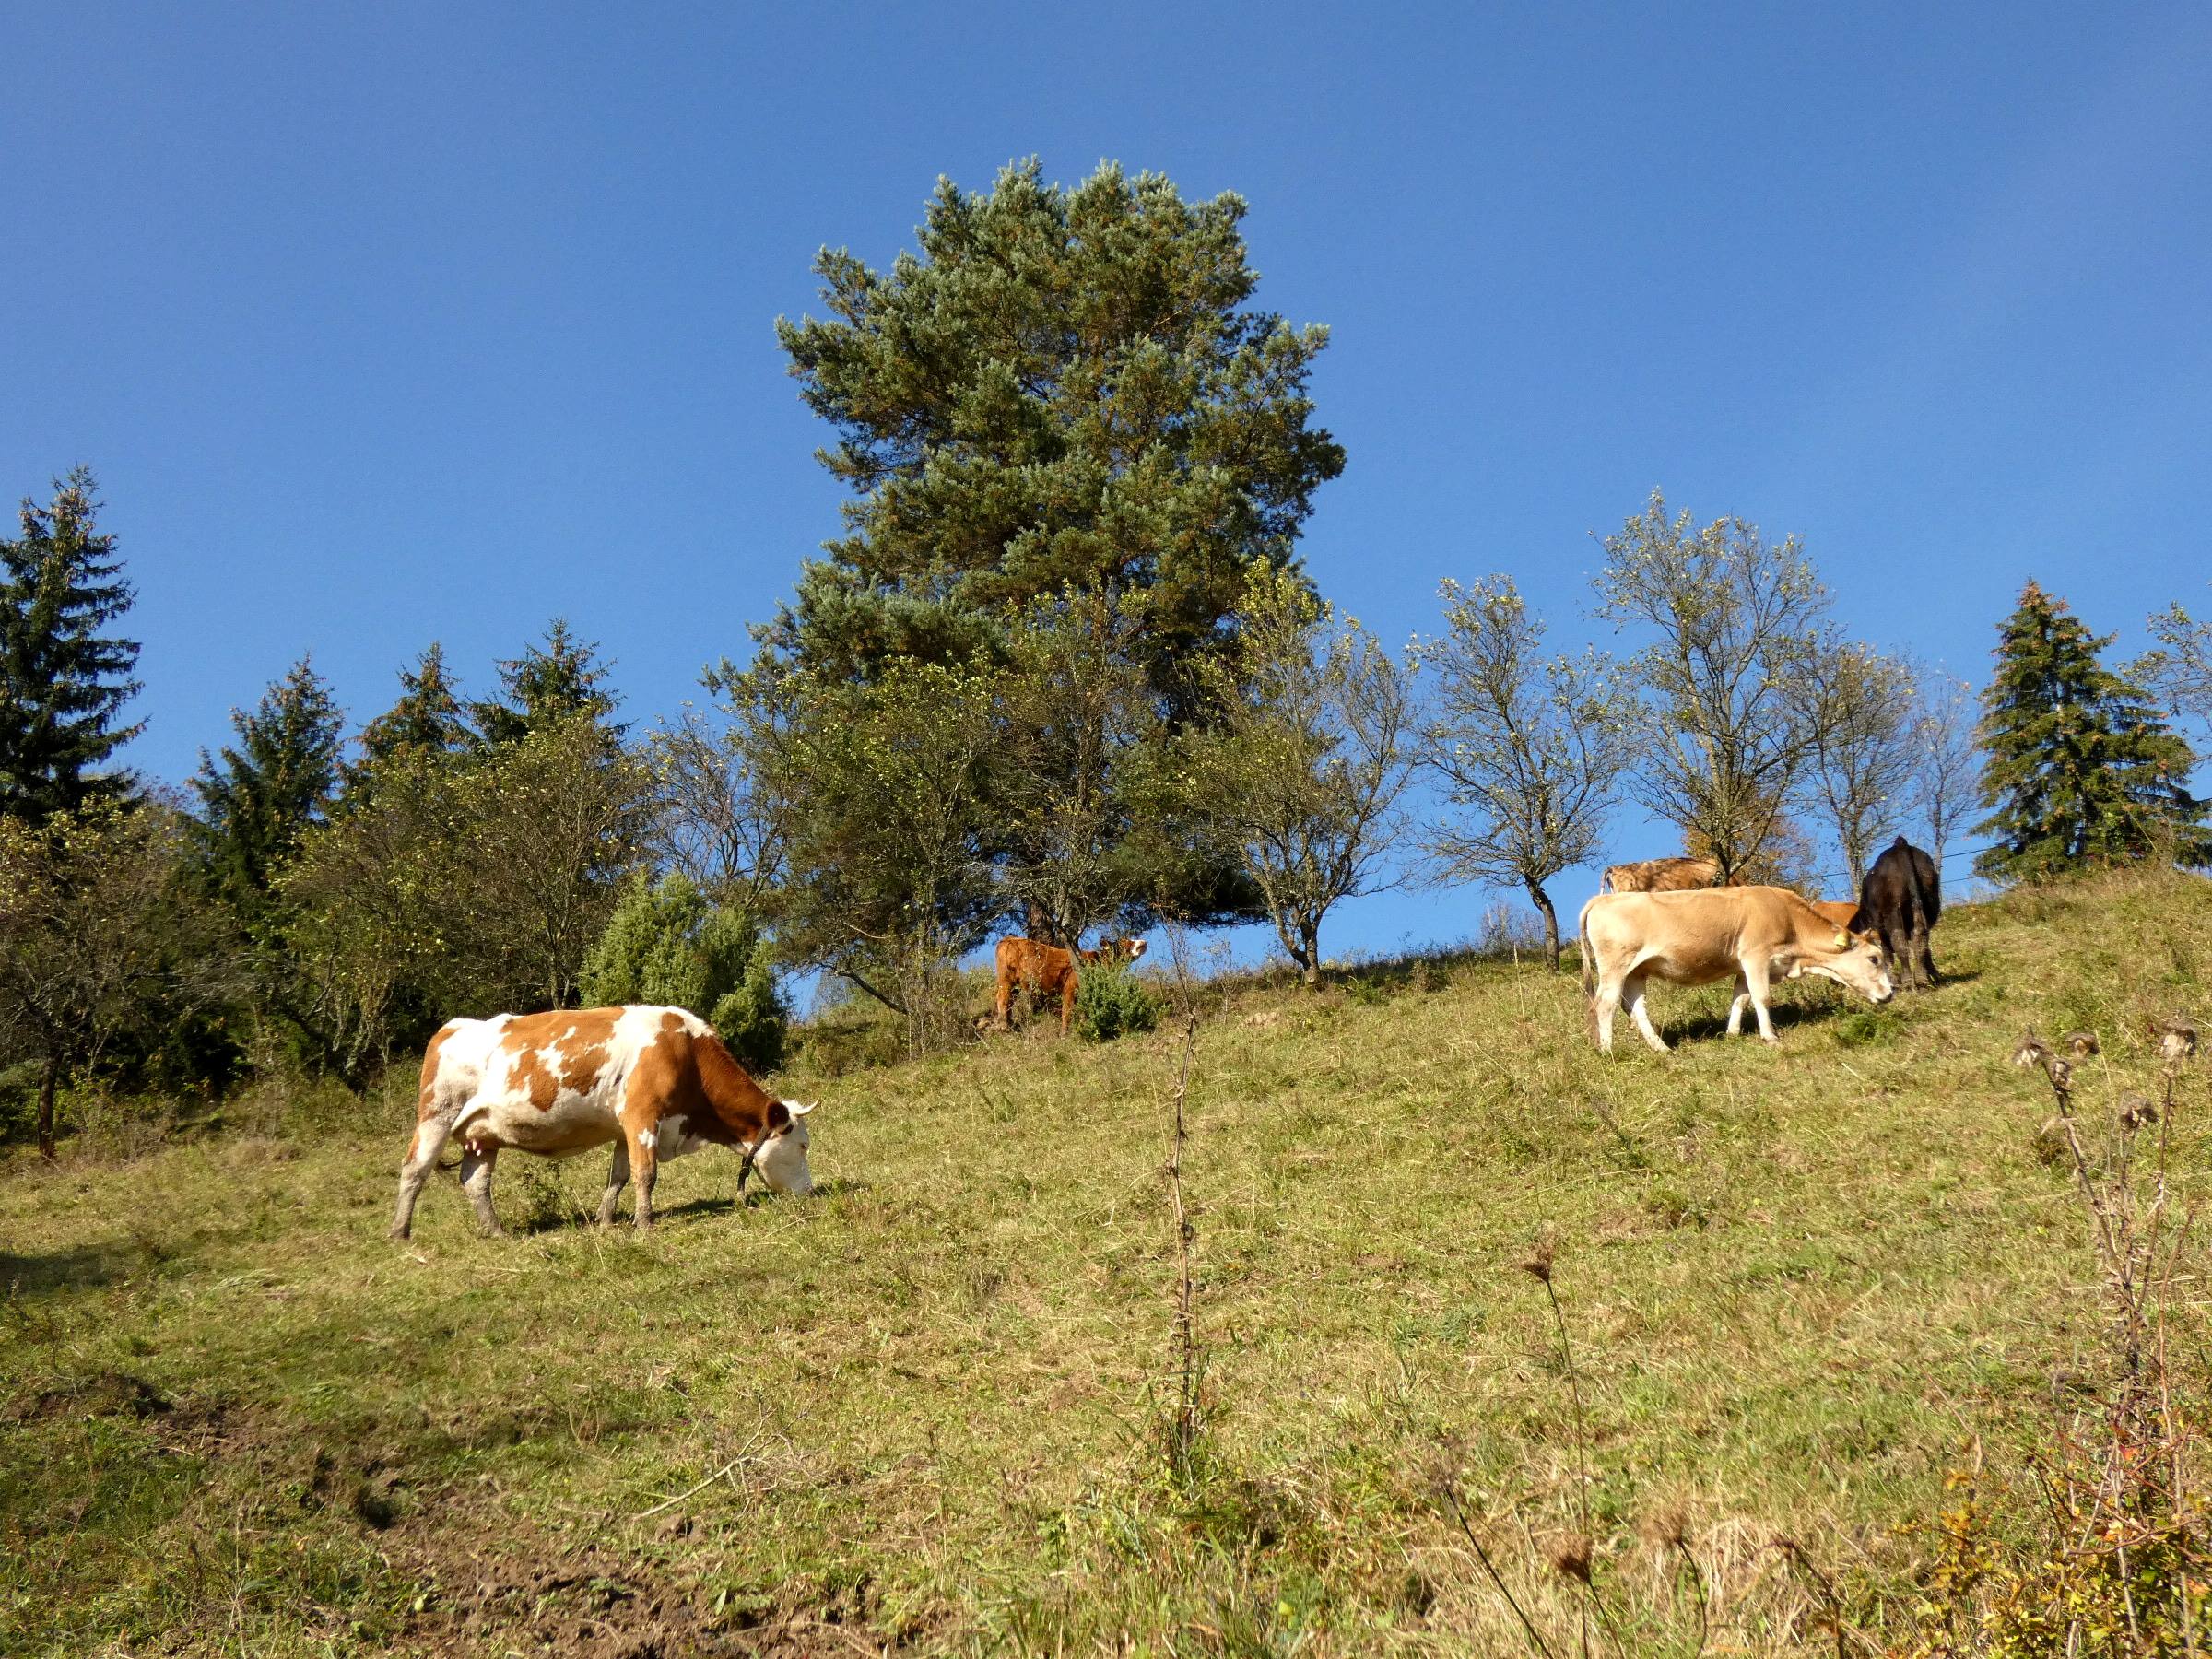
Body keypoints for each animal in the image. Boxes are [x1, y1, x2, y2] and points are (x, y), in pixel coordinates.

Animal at [394, 1008, 818, 1239]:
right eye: (802, 1145)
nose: (811, 1193)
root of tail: (451, 1027)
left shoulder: (624, 1127)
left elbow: (619, 1176)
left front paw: (604, 1220)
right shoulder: (643, 1116)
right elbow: (646, 1174)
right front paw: (646, 1224)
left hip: (483, 1135)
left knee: (476, 1183)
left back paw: (497, 1232)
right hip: (436, 1114)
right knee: (414, 1170)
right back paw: (401, 1232)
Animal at [1574, 888, 1902, 1057]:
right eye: (1874, 958)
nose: (1890, 993)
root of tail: (1602, 899)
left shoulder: (1744, 964)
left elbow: (1741, 998)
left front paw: (1731, 1034)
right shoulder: (1756, 955)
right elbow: (1762, 997)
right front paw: (1770, 1037)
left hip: (1635, 970)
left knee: (1636, 1008)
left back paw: (1662, 1048)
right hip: (1615, 965)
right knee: (1605, 1003)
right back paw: (1607, 1050)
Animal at [1858, 836, 1947, 995]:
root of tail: (1901, 845)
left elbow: (1887, 952)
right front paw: (1934, 975)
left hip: (1893, 910)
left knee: (1900, 943)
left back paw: (1908, 982)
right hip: (1925, 902)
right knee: (1921, 939)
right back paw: (1923, 979)